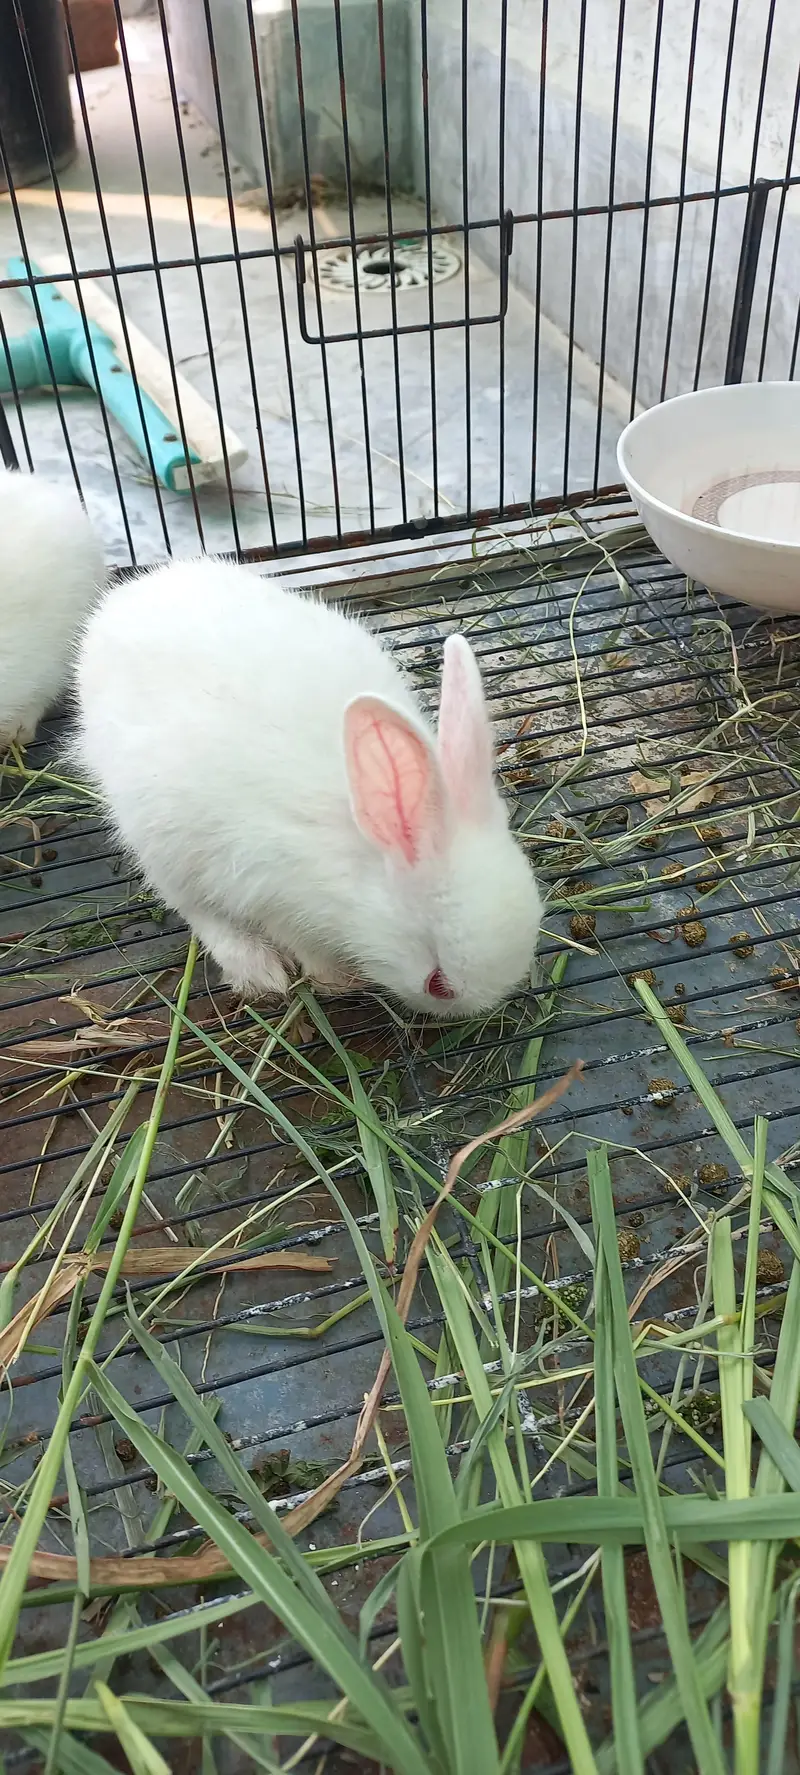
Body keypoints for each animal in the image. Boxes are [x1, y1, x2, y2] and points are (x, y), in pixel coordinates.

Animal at [73, 557, 543, 1017]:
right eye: (437, 983)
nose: (462, 1014)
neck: (363, 855)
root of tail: (118, 602)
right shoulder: (271, 891)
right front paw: (335, 980)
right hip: (159, 838)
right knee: (196, 909)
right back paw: (259, 973)